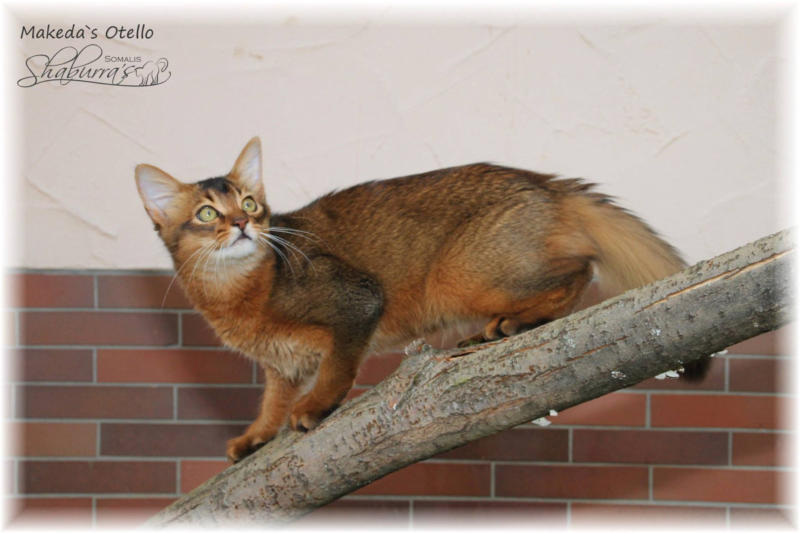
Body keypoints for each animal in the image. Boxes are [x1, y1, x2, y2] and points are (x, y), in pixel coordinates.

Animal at [135, 137, 704, 462]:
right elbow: (270, 402)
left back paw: (515, 322)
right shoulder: (280, 365)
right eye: (207, 214)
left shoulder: (357, 301)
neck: (238, 293)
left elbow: (338, 368)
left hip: (460, 276)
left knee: (580, 268)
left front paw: (316, 407)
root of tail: (544, 182)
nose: (242, 224)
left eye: (251, 204)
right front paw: (257, 436)